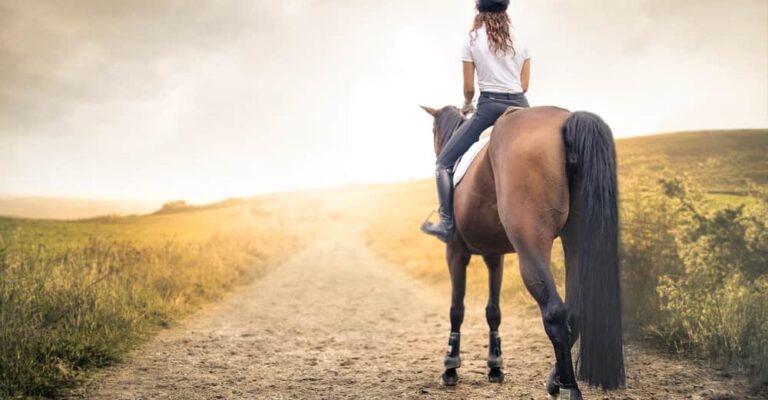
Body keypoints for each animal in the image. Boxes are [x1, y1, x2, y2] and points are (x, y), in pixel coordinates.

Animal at [419, 105, 625, 399]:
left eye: (433, 131)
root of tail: (566, 119)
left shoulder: (456, 252)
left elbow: (456, 309)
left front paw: (450, 366)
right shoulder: (495, 256)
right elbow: (493, 310)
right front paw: (495, 365)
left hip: (531, 244)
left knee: (555, 312)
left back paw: (568, 387)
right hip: (576, 236)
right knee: (575, 310)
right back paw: (555, 379)